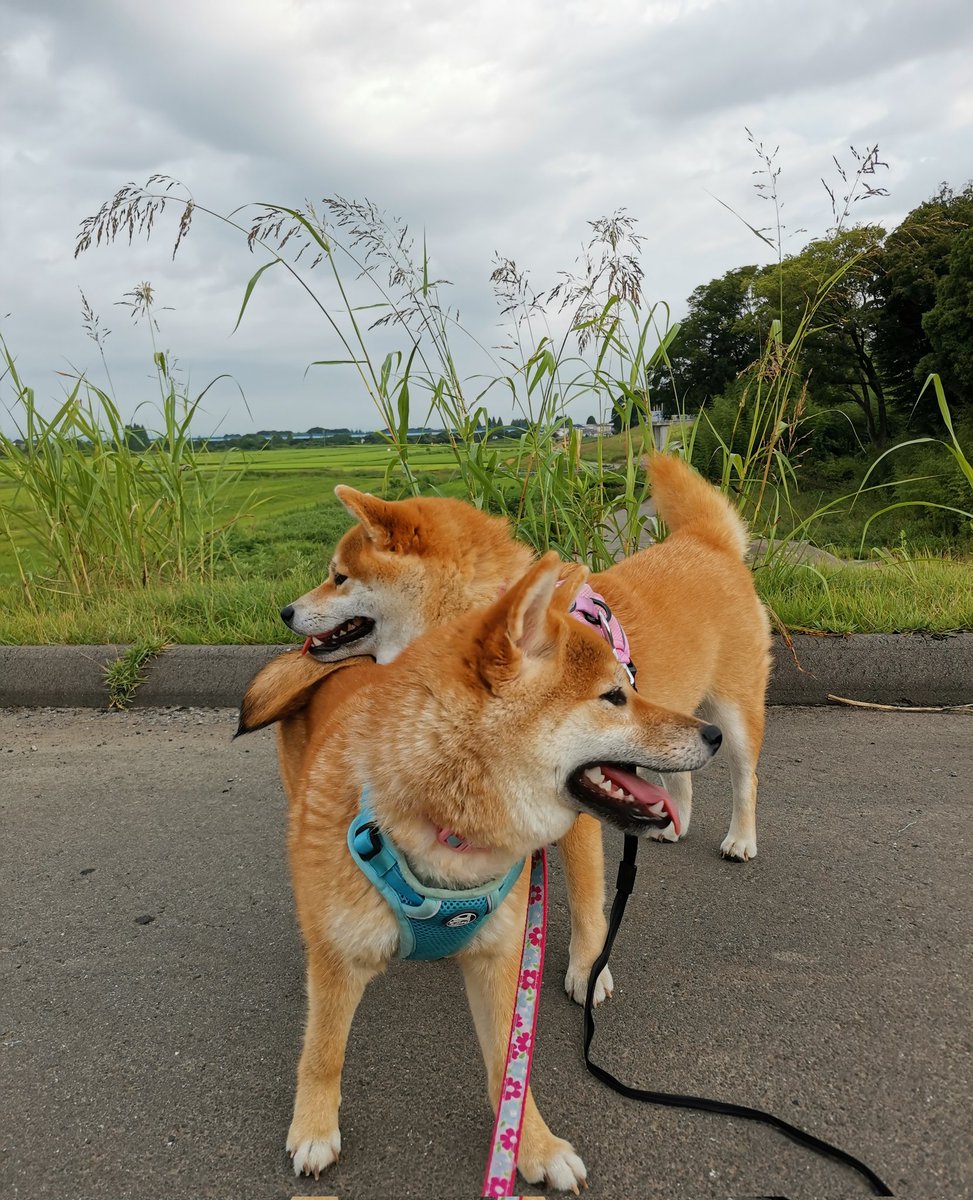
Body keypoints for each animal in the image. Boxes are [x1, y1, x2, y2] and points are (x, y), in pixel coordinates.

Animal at [239, 553, 723, 1188]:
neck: (442, 830)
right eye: (614, 697)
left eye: (629, 687)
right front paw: (315, 1129)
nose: (714, 733)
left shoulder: (499, 959)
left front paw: (530, 1145)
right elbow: (323, 1053)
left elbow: (508, 1067)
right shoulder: (340, 960)